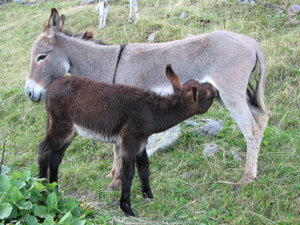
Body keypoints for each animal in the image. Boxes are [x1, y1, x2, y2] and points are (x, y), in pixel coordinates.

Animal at [38, 64, 218, 215]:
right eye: (209, 97)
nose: (216, 89)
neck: (152, 112)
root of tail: (50, 89)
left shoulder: (141, 143)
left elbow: (144, 167)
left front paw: (148, 196)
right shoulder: (130, 140)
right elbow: (128, 172)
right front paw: (127, 208)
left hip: (70, 132)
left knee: (56, 157)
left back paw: (54, 189)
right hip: (61, 125)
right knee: (44, 148)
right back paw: (42, 188)